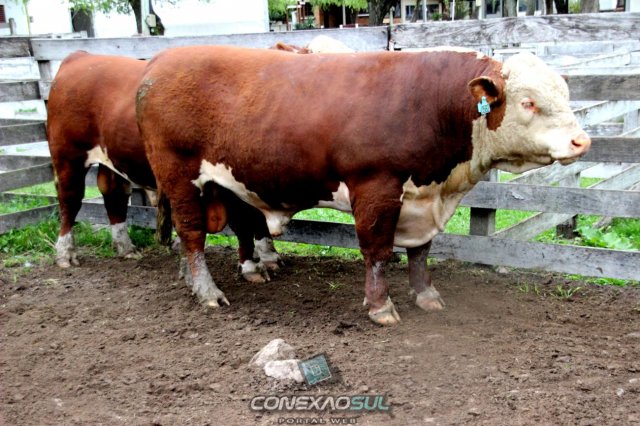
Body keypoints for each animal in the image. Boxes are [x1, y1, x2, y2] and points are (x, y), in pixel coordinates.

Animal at [46, 51, 282, 284]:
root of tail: (80, 56)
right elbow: (247, 221)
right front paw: (254, 264)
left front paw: (269, 256)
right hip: (68, 156)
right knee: (70, 200)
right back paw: (65, 253)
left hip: (112, 160)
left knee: (114, 196)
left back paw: (126, 248)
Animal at [135, 46, 591, 325]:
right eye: (529, 102)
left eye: (565, 96)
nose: (581, 141)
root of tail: (157, 63)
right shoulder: (375, 187)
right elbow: (377, 251)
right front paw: (380, 306)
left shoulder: (423, 197)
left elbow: (421, 252)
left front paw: (426, 295)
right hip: (179, 176)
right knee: (192, 233)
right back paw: (206, 291)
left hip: (226, 183)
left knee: (235, 225)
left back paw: (230, 274)